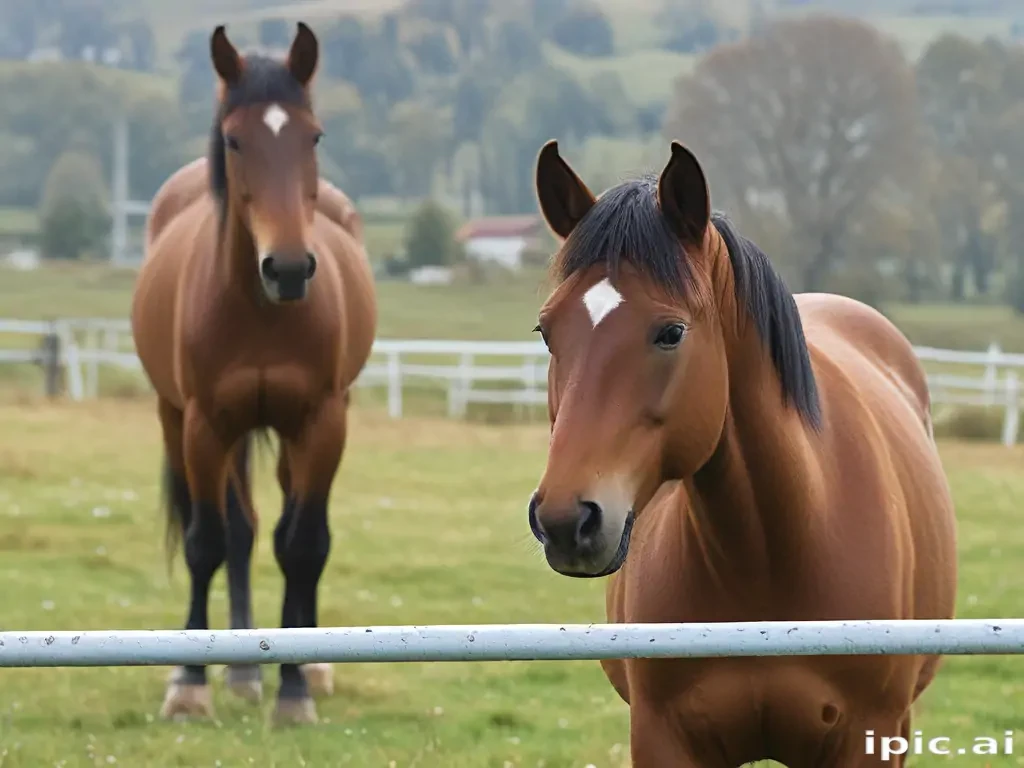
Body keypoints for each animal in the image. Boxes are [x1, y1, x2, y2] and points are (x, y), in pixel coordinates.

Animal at [130, 22, 376, 725]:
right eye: (235, 140)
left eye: (313, 136)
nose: (288, 268)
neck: (261, 313)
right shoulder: (205, 425)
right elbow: (208, 542)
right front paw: (189, 685)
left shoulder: (321, 423)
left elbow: (304, 545)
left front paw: (294, 690)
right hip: (181, 421)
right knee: (235, 533)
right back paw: (238, 669)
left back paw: (306, 663)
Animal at [525, 140, 957, 767]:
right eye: (547, 332)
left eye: (671, 332)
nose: (565, 520)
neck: (773, 553)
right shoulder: (661, 739)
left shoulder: (871, 739)